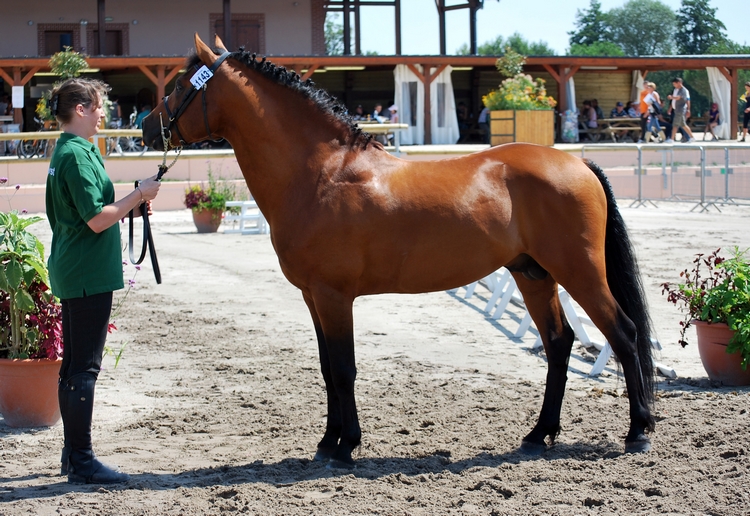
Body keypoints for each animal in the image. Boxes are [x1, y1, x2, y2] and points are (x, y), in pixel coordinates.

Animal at [142, 31, 656, 468]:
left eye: (183, 84)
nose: (147, 127)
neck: (320, 173)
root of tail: (578, 163)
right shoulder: (312, 296)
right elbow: (327, 368)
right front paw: (327, 443)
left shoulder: (333, 296)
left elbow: (343, 369)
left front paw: (345, 446)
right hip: (533, 274)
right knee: (559, 342)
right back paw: (537, 435)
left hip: (578, 271)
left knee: (624, 334)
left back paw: (638, 432)